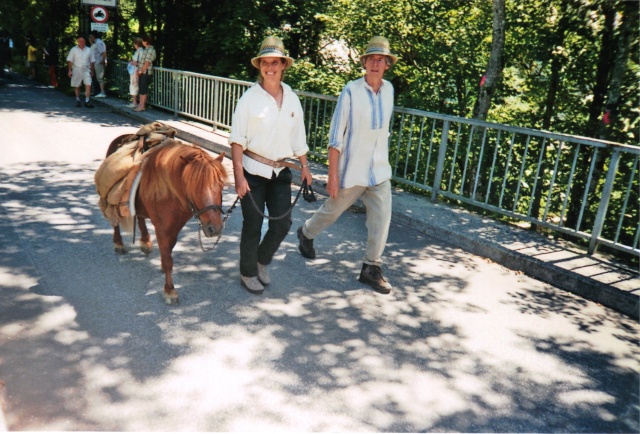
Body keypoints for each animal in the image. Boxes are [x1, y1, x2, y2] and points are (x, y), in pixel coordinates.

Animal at [104, 136, 226, 306]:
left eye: (221, 186)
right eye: (193, 186)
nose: (215, 228)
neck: (170, 193)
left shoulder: (177, 226)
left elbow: (169, 248)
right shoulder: (161, 228)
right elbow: (168, 259)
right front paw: (170, 291)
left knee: (140, 218)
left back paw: (145, 242)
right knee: (115, 221)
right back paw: (119, 243)